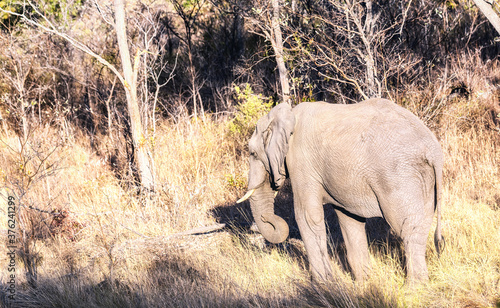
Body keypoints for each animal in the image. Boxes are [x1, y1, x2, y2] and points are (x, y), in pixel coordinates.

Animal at [238, 98, 446, 284]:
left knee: (407, 229)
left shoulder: (302, 163)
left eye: (253, 153)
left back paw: (413, 287)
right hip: (424, 179)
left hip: (399, 176)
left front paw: (323, 284)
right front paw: (363, 284)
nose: (266, 218)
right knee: (420, 225)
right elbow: (349, 219)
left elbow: (307, 217)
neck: (288, 114)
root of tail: (433, 149)